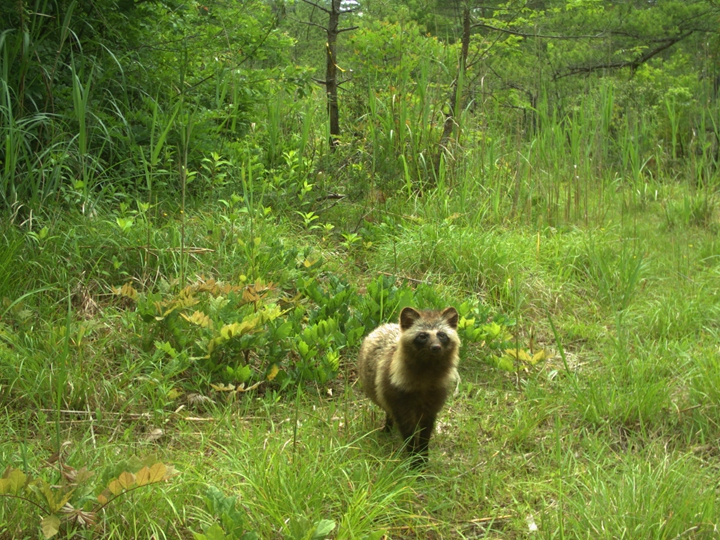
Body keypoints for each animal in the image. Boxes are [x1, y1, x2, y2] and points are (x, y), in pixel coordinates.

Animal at [356, 306, 462, 466]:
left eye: (442, 334)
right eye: (422, 336)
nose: (436, 347)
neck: (428, 371)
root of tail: (384, 325)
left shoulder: (433, 400)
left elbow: (425, 432)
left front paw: (423, 456)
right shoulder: (399, 398)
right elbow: (408, 432)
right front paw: (413, 458)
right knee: (388, 410)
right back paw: (388, 427)